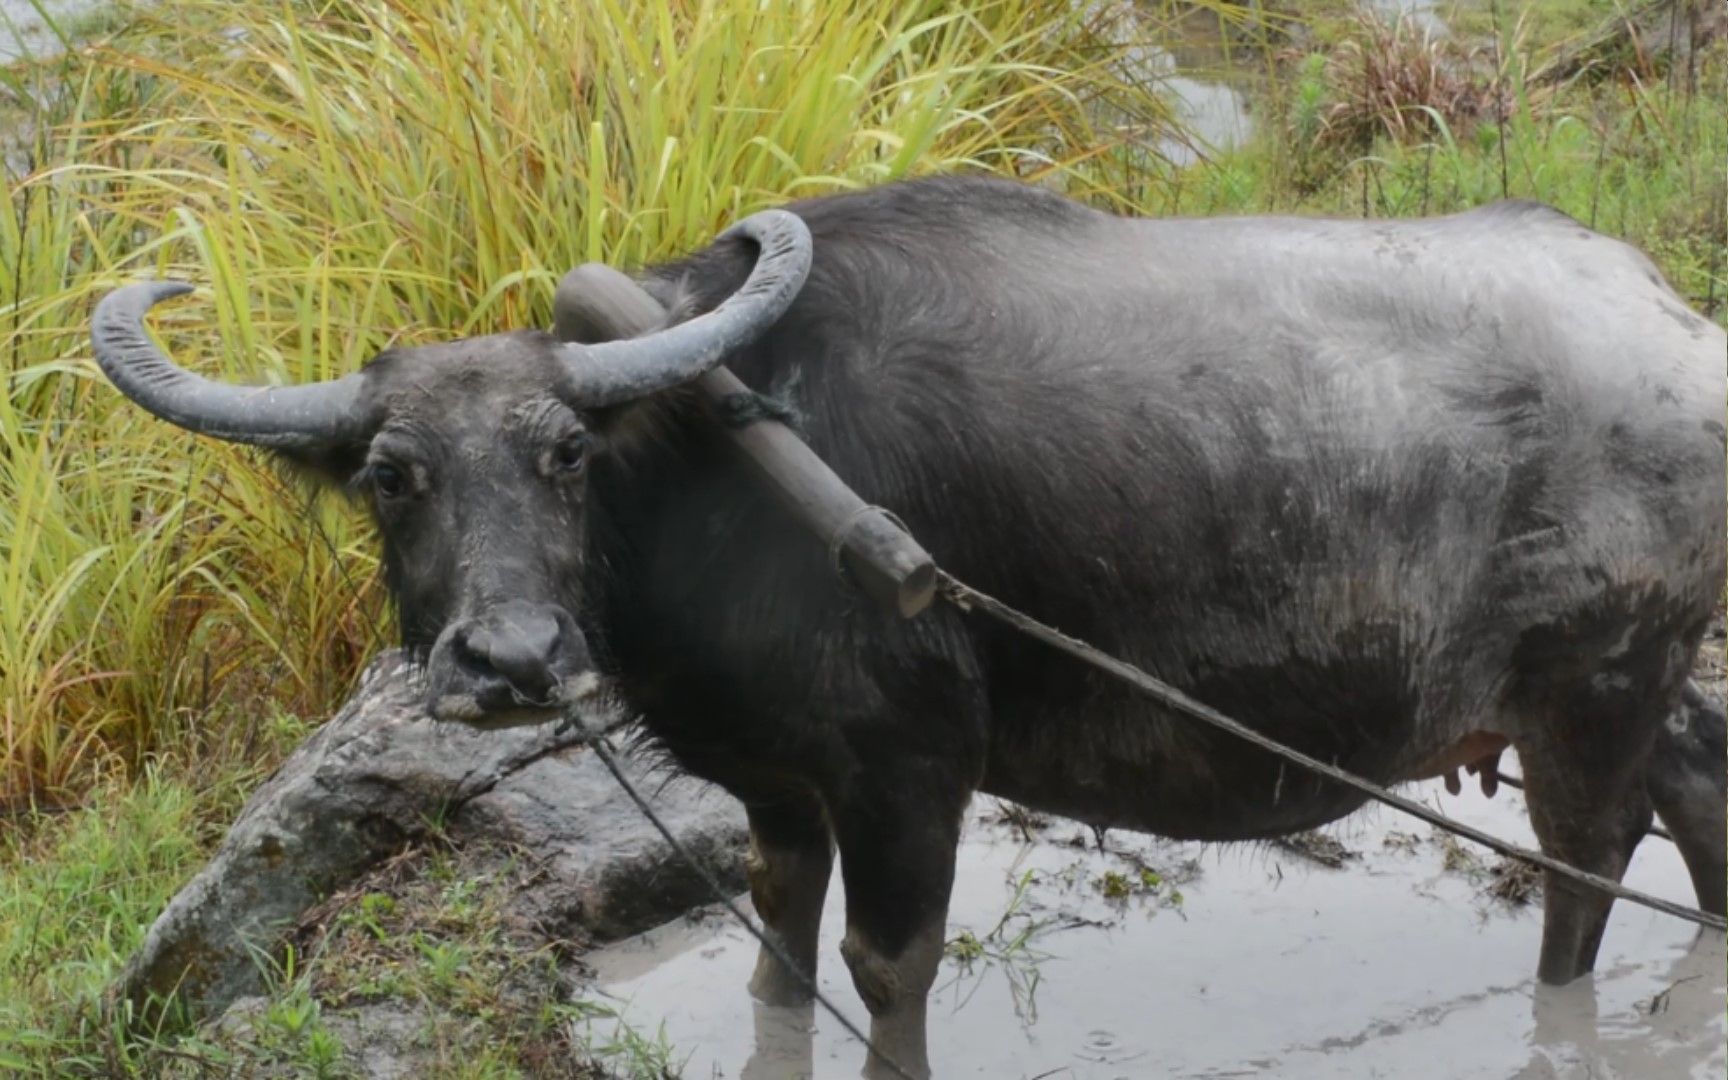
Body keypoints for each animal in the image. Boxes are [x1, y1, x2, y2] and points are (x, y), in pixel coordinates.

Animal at [98, 174, 1728, 1071]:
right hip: (1642, 685)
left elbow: (885, 974)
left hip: (1591, 694)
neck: (708, 470)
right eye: (391, 475)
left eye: (565, 454)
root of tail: (1678, 328)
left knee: (1589, 873)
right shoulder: (777, 788)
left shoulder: (908, 777)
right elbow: (776, 949)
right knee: (1701, 785)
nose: (510, 662)